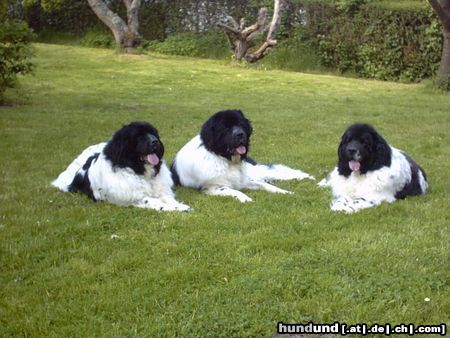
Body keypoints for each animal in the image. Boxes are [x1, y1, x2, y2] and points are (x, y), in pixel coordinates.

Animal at [51, 121, 191, 211]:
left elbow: (168, 198)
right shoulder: (131, 197)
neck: (138, 170)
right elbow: (150, 200)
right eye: (139, 136)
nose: (155, 141)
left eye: (153, 133)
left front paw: (179, 206)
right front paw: (167, 207)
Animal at [170, 109, 312, 202]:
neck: (225, 159)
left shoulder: (244, 180)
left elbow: (264, 185)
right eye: (226, 128)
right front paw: (246, 199)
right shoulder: (211, 186)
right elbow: (234, 190)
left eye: (240, 124)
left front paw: (284, 192)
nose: (240, 134)